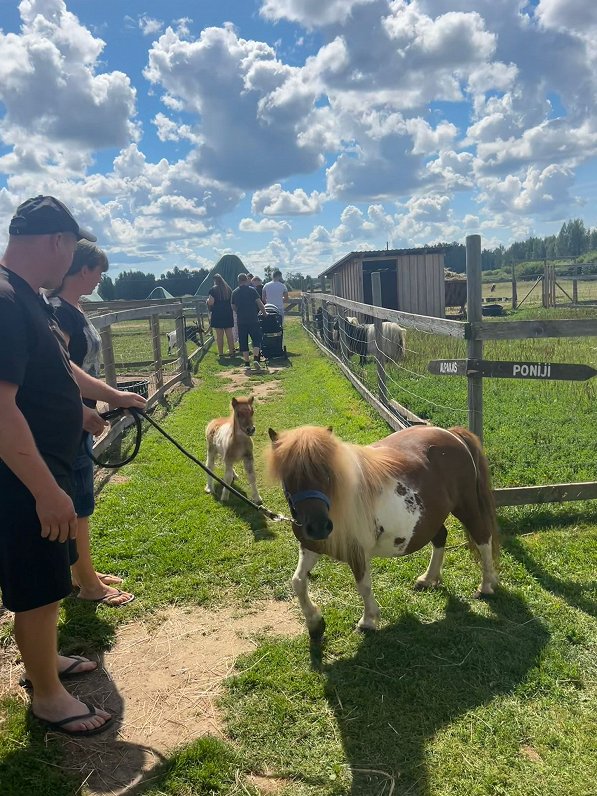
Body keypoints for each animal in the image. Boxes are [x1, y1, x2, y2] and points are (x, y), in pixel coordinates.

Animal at [266, 422, 498, 640]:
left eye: (327, 472)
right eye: (287, 475)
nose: (319, 527)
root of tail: (452, 434)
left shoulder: (357, 553)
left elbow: (364, 586)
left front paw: (368, 621)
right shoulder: (311, 546)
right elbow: (297, 581)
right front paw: (314, 623)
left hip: (466, 506)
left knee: (483, 537)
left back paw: (486, 586)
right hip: (432, 517)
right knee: (441, 537)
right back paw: (428, 579)